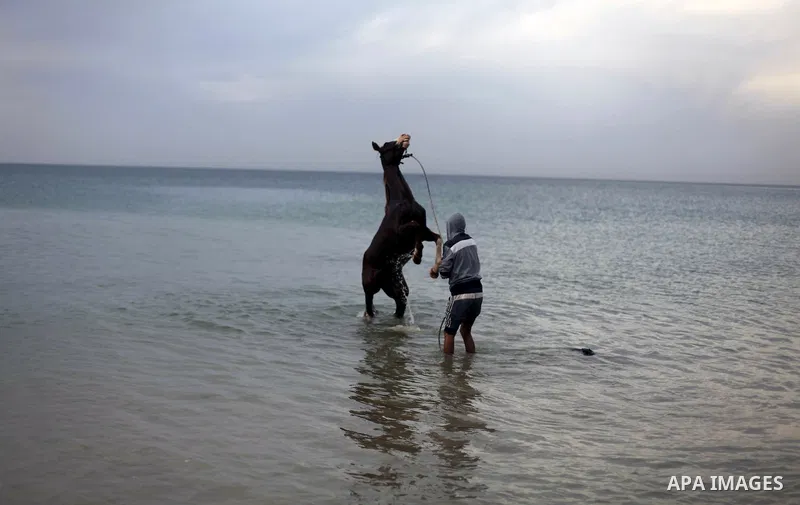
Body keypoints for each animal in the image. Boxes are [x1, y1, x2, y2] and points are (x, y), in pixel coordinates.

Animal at [361, 134, 442, 319]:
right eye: (387, 145)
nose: (405, 136)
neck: (403, 200)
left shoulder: (425, 230)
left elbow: (437, 237)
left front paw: (434, 270)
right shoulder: (403, 231)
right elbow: (415, 226)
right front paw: (417, 255)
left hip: (397, 289)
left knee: (399, 307)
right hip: (370, 288)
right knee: (369, 307)